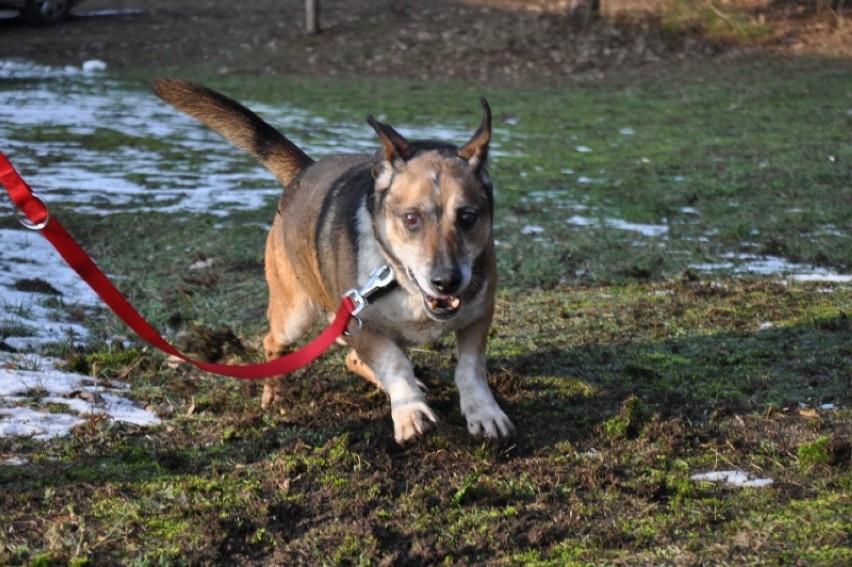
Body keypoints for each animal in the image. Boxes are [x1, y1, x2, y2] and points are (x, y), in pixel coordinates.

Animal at [151, 80, 512, 444]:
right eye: (411, 219)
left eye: (468, 217)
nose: (446, 281)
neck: (402, 285)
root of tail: (304, 170)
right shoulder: (359, 322)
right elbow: (394, 363)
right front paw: (410, 411)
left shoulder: (478, 315)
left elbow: (470, 368)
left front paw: (484, 413)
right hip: (294, 315)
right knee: (274, 343)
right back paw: (275, 393)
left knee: (352, 358)